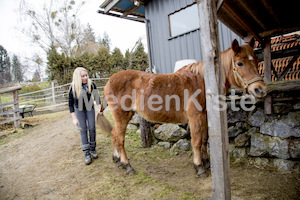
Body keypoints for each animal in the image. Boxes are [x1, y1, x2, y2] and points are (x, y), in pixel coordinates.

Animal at [98, 38, 268, 177]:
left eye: (257, 60)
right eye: (240, 63)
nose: (260, 89)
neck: (202, 81)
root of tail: (108, 82)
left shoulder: (205, 116)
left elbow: (204, 139)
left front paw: (207, 163)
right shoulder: (195, 117)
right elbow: (196, 141)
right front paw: (199, 167)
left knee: (114, 134)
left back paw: (117, 160)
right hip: (122, 116)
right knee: (119, 138)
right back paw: (127, 165)